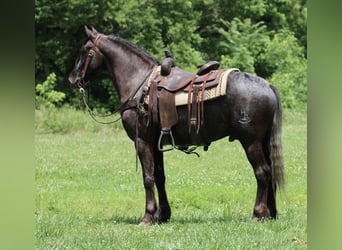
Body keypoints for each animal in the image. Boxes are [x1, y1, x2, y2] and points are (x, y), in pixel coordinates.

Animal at [68, 26, 284, 226]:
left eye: (84, 50)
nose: (72, 79)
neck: (139, 82)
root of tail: (267, 86)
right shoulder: (156, 143)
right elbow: (159, 177)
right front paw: (163, 215)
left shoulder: (142, 141)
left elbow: (148, 178)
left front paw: (147, 217)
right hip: (262, 141)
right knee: (270, 172)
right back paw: (271, 213)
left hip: (251, 142)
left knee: (262, 172)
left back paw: (257, 213)